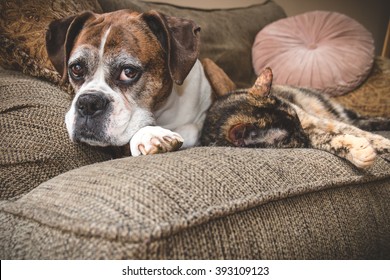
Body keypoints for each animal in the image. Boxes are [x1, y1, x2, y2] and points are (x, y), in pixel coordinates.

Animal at [201, 63, 390, 168]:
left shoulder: (319, 121)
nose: (302, 134)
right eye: (287, 139)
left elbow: (362, 134)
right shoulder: (313, 135)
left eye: (296, 118)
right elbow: (329, 139)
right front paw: (361, 151)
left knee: (361, 122)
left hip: (339, 112)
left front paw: (382, 145)